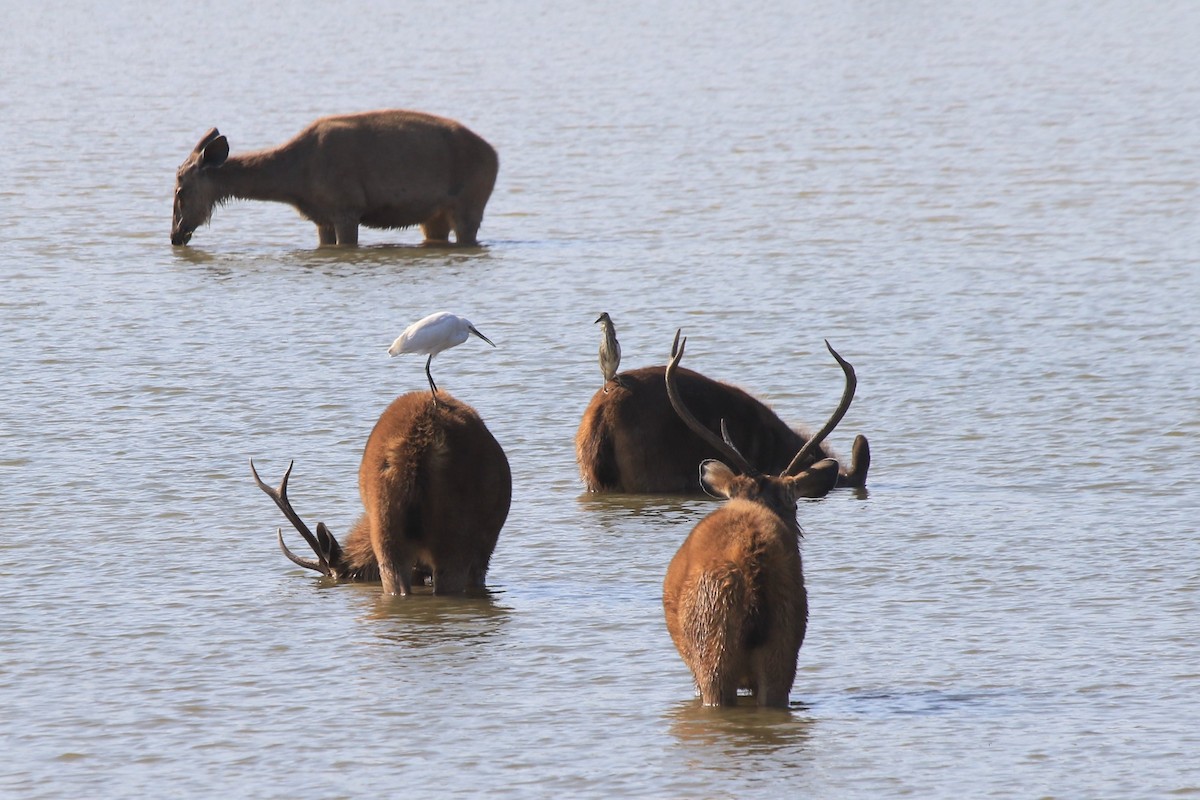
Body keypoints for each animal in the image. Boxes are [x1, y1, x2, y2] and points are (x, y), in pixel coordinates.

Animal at [171, 109, 499, 247]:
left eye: (180, 191)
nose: (175, 236)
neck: (293, 182)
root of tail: (495, 156)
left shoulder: (346, 210)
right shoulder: (322, 218)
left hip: (470, 205)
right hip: (434, 216)